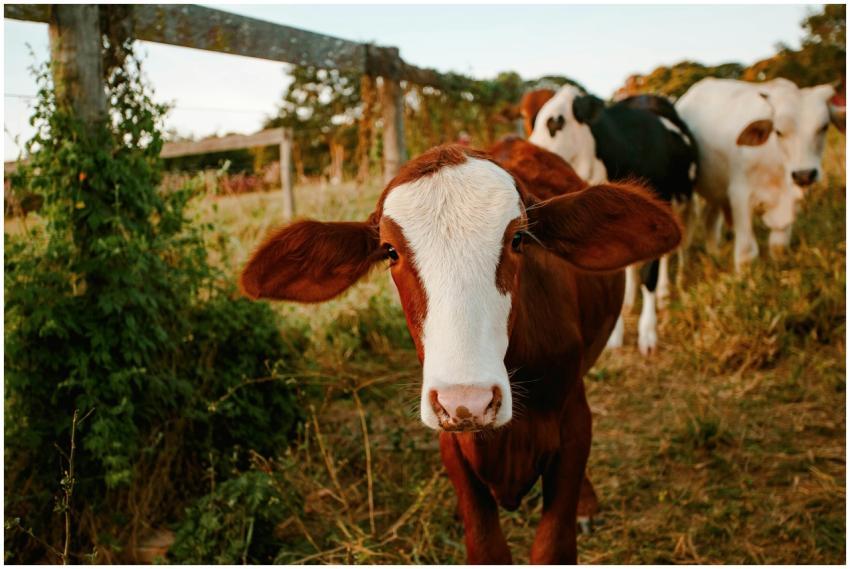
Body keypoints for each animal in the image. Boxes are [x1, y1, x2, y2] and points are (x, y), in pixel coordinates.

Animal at [240, 139, 681, 563]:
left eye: (518, 238)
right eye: (390, 251)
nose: (466, 401)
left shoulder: (572, 420)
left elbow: (554, 544)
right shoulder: (453, 447)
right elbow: (484, 546)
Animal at [528, 85, 698, 355]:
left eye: (556, 122)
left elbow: (650, 274)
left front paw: (648, 333)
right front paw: (615, 335)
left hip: (685, 204)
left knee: (673, 252)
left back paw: (665, 292)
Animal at [675, 77, 839, 270]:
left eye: (824, 127)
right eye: (778, 132)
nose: (804, 174)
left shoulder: (790, 198)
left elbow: (778, 245)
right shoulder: (739, 195)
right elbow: (746, 252)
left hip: (716, 190)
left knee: (710, 220)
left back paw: (714, 255)